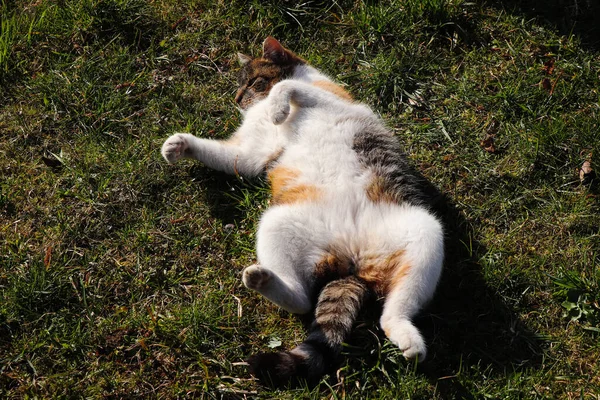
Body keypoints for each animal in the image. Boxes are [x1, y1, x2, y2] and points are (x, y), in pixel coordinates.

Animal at [162, 38, 442, 388]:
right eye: (239, 86)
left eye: (253, 82)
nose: (237, 99)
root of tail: (351, 261)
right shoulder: (252, 152)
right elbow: (232, 156)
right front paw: (179, 145)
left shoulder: (333, 99)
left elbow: (286, 85)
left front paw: (277, 108)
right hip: (279, 222)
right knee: (303, 300)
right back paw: (264, 279)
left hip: (426, 231)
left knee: (391, 310)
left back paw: (410, 340)